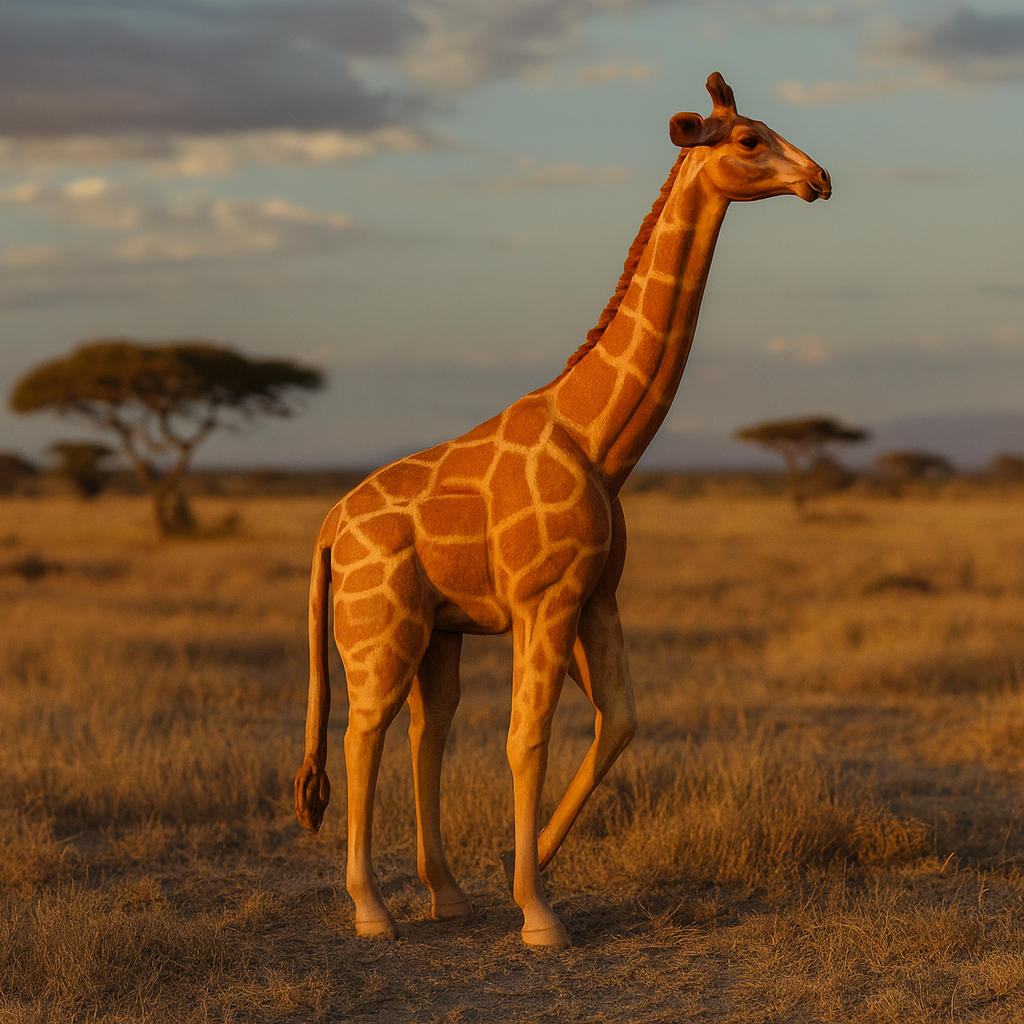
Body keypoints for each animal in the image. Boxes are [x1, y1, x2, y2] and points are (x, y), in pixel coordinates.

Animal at [295, 73, 831, 948]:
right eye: (750, 140)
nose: (818, 178)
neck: (600, 441)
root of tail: (329, 529)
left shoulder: (594, 595)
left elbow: (621, 720)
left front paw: (533, 865)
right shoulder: (543, 597)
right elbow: (527, 738)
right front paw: (540, 914)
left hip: (437, 630)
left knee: (426, 731)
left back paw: (447, 894)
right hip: (378, 625)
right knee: (361, 731)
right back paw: (373, 911)